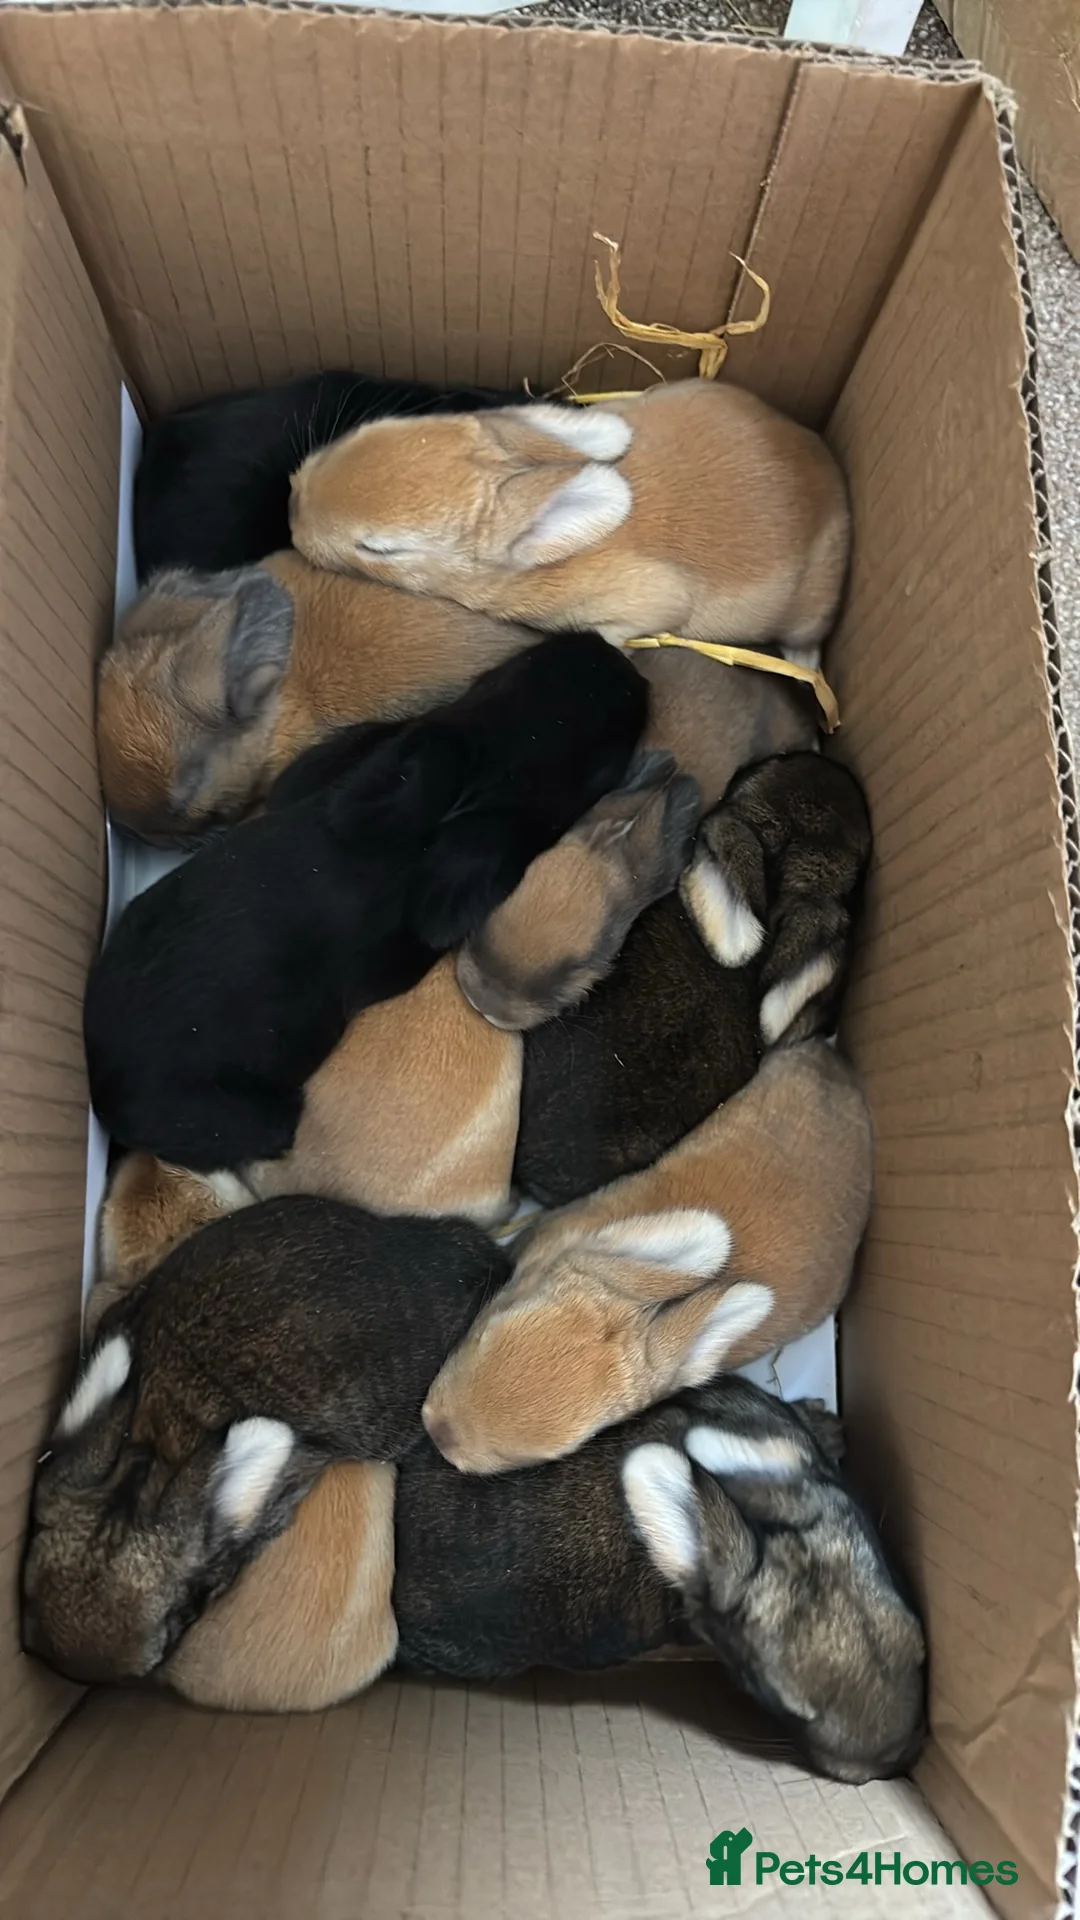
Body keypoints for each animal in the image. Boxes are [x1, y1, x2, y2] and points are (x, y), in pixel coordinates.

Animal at [289, 380, 850, 665]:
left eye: (381, 549)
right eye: (374, 429)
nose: (292, 507)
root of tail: (829, 467)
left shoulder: (646, 604)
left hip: (809, 610)